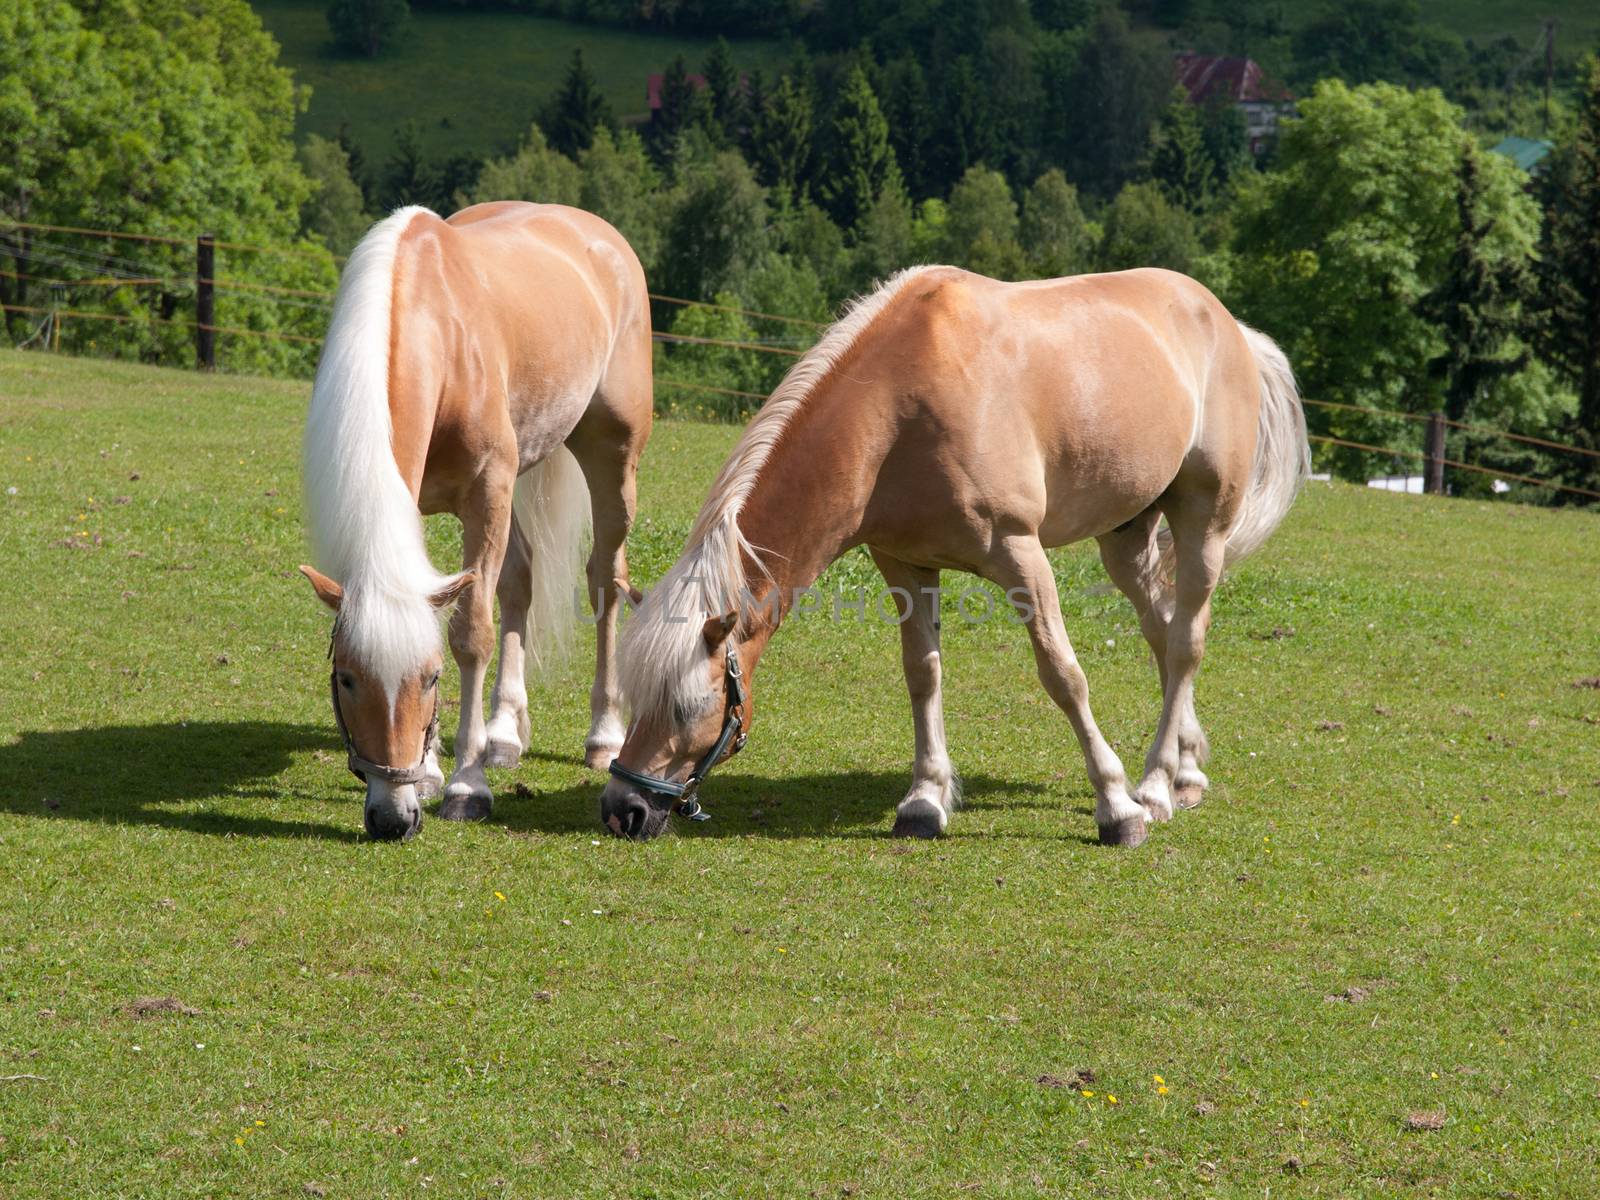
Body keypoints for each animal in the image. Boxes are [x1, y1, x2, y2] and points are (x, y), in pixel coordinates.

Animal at [300, 204, 649, 844]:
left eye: (431, 679)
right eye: (347, 677)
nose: (392, 818)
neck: (437, 333)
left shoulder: (487, 493)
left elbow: (470, 636)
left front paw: (466, 785)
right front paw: (436, 771)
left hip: (611, 460)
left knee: (606, 582)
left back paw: (604, 733)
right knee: (519, 584)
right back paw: (504, 733)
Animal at [601, 265, 1312, 844]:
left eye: (688, 706)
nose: (622, 810)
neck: (898, 410)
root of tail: (1228, 324)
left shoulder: (1021, 558)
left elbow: (1063, 674)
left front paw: (1116, 808)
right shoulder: (905, 565)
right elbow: (923, 675)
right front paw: (924, 801)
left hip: (1202, 523)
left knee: (1188, 640)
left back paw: (1157, 786)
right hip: (1125, 539)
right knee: (1164, 635)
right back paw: (1186, 769)